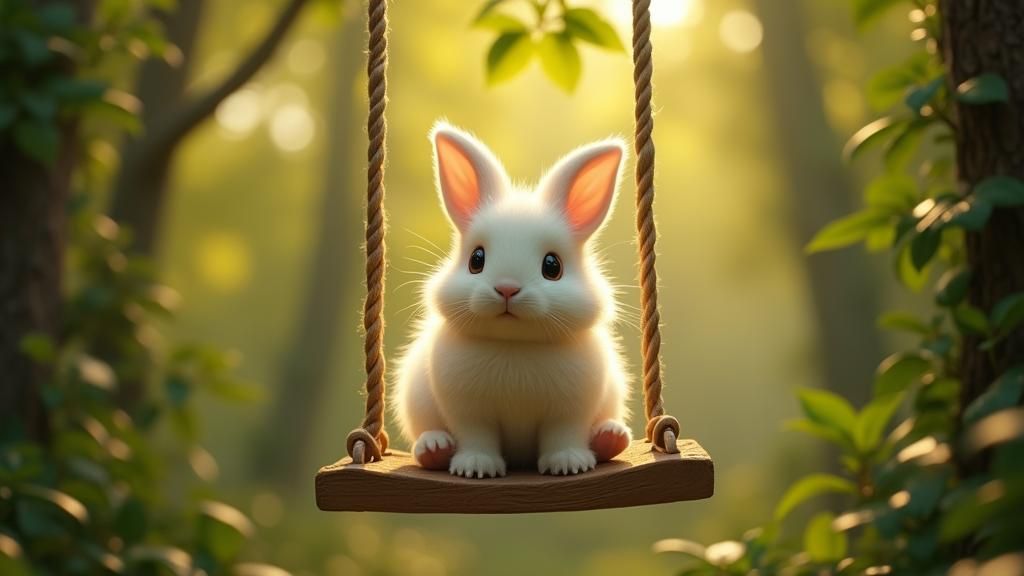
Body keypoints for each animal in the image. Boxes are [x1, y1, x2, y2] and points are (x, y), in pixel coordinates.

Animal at [392, 121, 632, 478]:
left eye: (552, 266)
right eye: (476, 260)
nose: (507, 289)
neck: (515, 345)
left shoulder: (570, 411)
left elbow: (563, 436)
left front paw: (568, 464)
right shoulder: (469, 411)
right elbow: (477, 437)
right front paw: (476, 468)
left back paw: (610, 437)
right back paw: (434, 447)